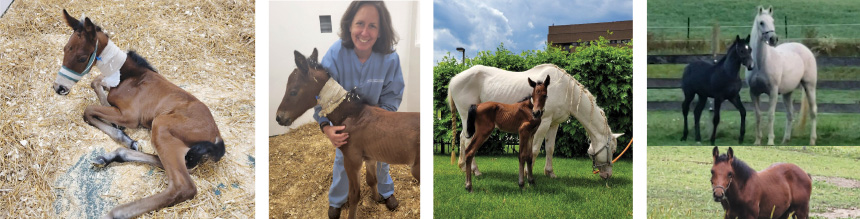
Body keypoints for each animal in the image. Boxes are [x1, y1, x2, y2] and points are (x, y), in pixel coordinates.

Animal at [50, 9, 225, 218]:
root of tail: (216, 137)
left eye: (82, 57)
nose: (59, 88)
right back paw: (111, 156)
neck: (131, 76)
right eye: (65, 49)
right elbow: (96, 83)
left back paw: (117, 211)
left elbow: (89, 110)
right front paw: (124, 134)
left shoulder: (130, 116)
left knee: (183, 187)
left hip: (161, 126)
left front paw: (121, 132)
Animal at [276, 49, 420, 219]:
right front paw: (377, 199)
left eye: (293, 91)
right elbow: (372, 180)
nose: (279, 117)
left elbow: (354, 195)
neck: (354, 115)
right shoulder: (370, 158)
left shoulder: (352, 160)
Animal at [446, 64, 620, 181]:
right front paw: (527, 174)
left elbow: (550, 149)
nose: (607, 175)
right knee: (468, 141)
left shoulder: (553, 124)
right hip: (466, 115)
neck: (563, 89)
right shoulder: (542, 123)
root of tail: (454, 79)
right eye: (612, 150)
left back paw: (464, 167)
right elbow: (535, 149)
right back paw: (475, 170)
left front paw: (550, 173)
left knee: (462, 138)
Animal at [748, 5, 816, 145]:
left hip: (810, 86)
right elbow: (758, 115)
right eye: (761, 22)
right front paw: (757, 141)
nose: (773, 39)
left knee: (813, 111)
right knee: (790, 114)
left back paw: (812, 140)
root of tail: (804, 48)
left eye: (773, 21)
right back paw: (785, 139)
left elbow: (770, 115)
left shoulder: (773, 92)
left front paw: (770, 141)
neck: (760, 63)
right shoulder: (753, 92)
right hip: (787, 93)